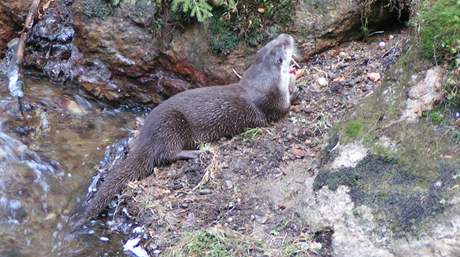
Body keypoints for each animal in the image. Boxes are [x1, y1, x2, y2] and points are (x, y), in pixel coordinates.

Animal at [82, 33, 298, 219]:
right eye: (284, 46)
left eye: (275, 40)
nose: (287, 35)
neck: (259, 83)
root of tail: (145, 137)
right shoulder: (272, 102)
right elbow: (284, 108)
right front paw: (295, 89)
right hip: (171, 125)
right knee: (165, 154)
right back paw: (195, 153)